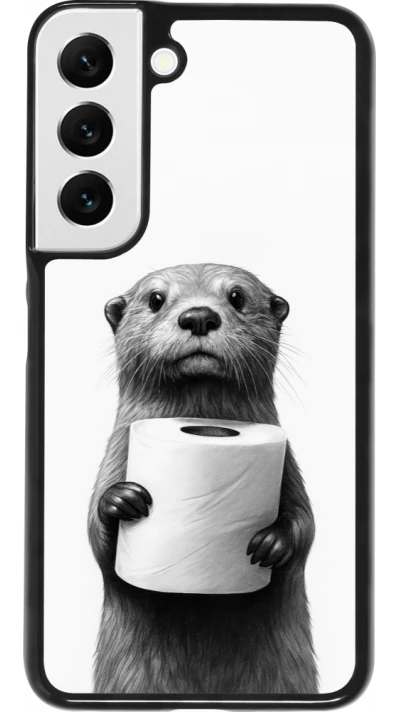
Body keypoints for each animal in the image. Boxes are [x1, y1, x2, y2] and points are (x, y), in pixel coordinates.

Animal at [88, 263, 317, 695]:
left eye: (237, 297)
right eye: (156, 299)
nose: (198, 316)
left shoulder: (289, 467)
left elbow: (306, 524)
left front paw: (272, 543)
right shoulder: (114, 456)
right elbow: (96, 538)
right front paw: (120, 501)